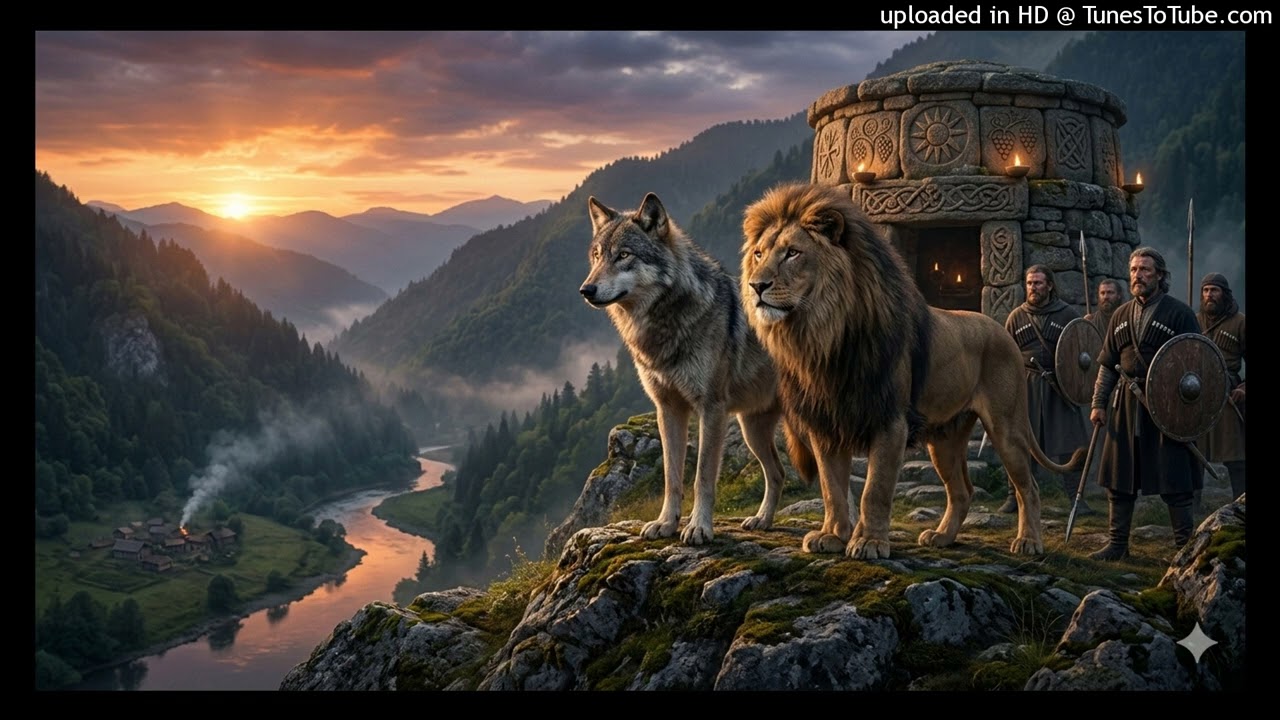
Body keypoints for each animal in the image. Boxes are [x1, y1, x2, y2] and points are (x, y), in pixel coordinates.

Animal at [580, 192, 796, 545]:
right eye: (597, 256)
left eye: (624, 255)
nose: (586, 290)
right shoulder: (668, 409)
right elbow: (672, 476)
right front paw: (665, 523)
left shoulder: (711, 409)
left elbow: (702, 476)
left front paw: (698, 527)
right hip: (752, 430)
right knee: (777, 473)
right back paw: (762, 520)